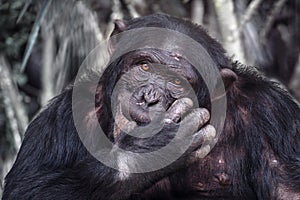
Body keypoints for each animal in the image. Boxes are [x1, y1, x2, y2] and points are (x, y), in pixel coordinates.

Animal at [2, 14, 300, 200]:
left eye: (177, 82)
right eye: (144, 66)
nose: (149, 97)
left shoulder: (273, 117)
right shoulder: (61, 118)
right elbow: (29, 189)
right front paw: (153, 148)